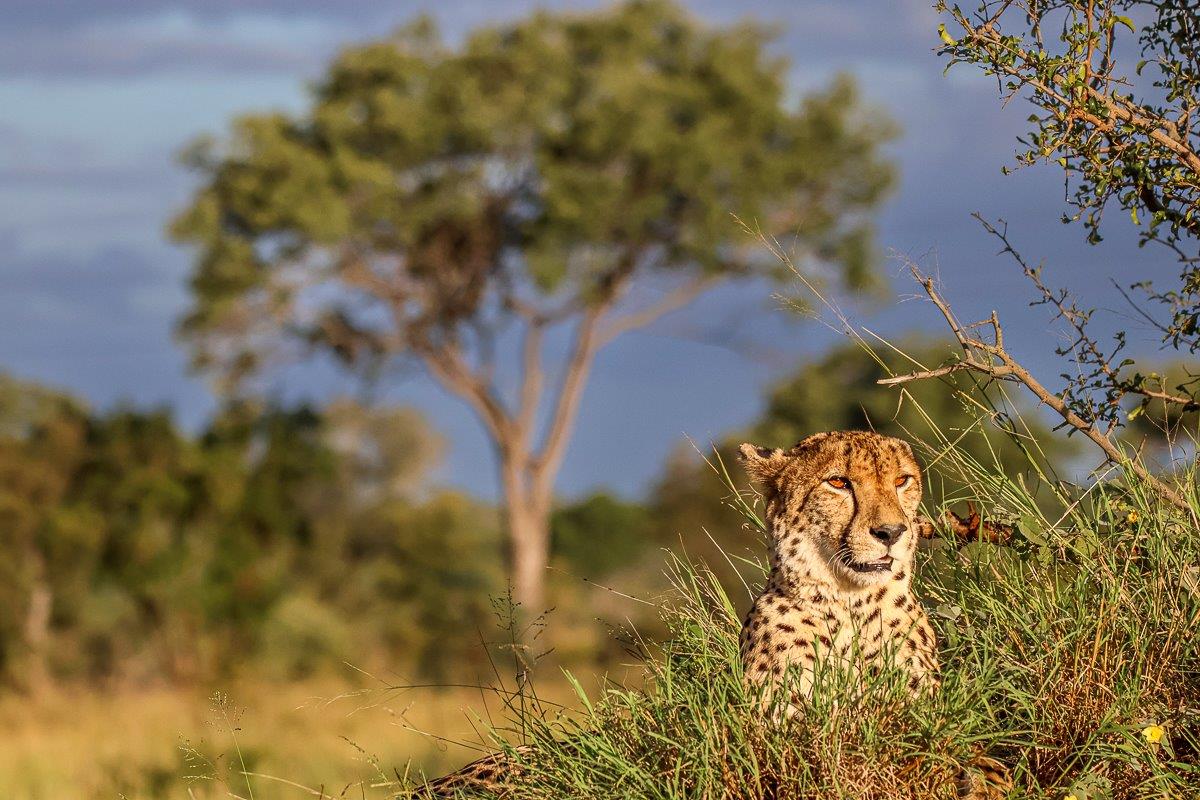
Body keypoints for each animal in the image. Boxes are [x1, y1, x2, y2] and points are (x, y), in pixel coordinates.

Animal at [419, 430, 1009, 798]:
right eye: (839, 482)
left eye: (902, 480)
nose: (891, 532)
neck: (850, 603)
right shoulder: (776, 732)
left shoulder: (921, 714)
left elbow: (963, 750)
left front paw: (986, 776)